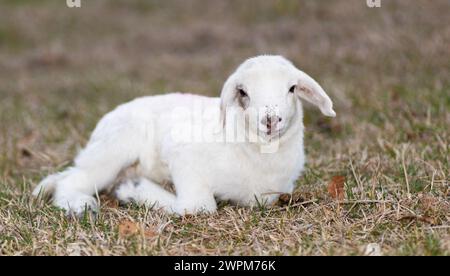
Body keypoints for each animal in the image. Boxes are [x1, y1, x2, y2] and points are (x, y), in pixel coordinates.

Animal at [32, 55, 334, 217]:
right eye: (243, 92)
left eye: (292, 88)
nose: (270, 120)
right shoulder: (182, 156)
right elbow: (198, 206)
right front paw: (136, 191)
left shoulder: (269, 194)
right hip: (114, 149)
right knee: (71, 181)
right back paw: (81, 205)